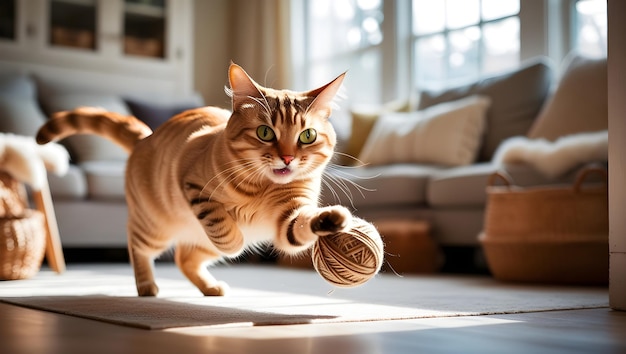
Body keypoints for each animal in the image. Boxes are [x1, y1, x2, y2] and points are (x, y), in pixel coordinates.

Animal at [37, 63, 352, 296]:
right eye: (265, 133)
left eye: (307, 136)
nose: (287, 158)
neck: (263, 188)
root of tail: (145, 138)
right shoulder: (194, 187)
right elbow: (226, 233)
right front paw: (236, 238)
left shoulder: (290, 215)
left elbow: (303, 224)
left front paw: (333, 220)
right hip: (155, 228)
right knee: (137, 246)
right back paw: (147, 286)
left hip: (196, 243)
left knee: (183, 258)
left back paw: (211, 287)